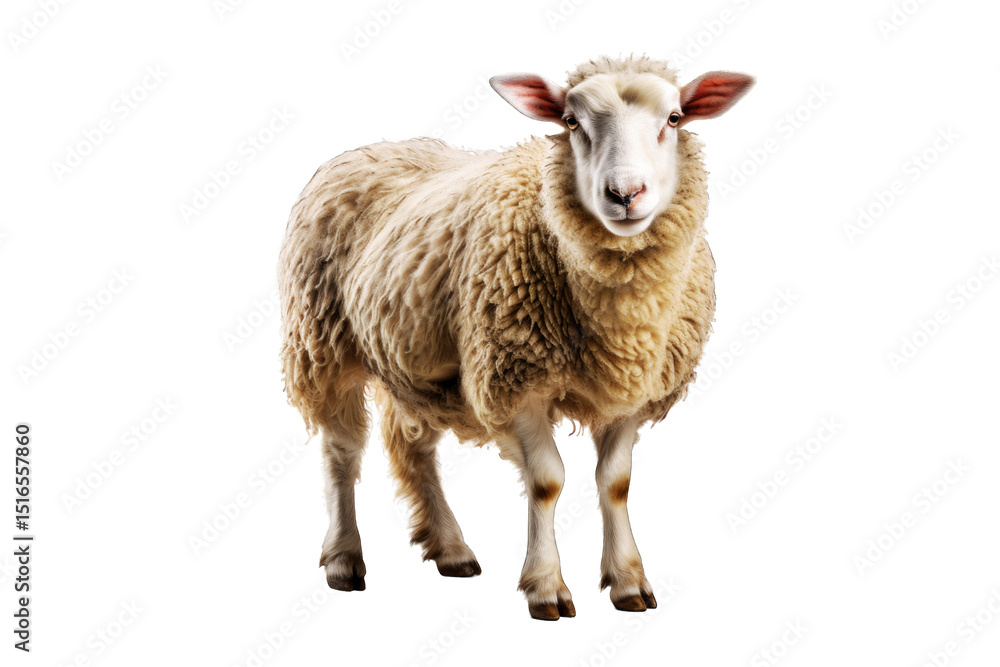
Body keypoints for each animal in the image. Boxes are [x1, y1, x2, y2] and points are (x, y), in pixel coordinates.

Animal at [278, 55, 754, 619]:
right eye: (570, 121)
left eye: (675, 118)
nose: (624, 194)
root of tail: (373, 147)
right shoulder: (517, 377)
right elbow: (547, 481)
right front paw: (546, 586)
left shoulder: (632, 390)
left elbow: (615, 483)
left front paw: (628, 581)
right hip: (322, 342)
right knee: (341, 451)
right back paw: (344, 559)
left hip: (415, 363)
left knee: (412, 448)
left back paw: (452, 549)